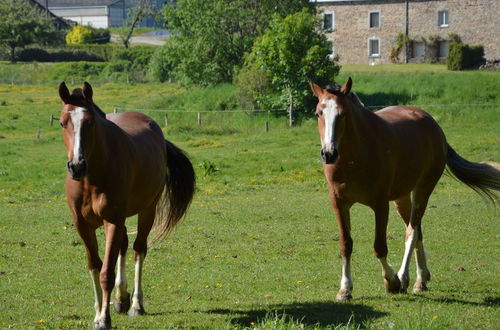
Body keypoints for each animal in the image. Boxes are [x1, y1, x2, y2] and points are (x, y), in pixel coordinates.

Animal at [56, 81, 193, 328]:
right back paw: (121, 299)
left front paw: (103, 318)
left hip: (147, 210)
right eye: (62, 122)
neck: (91, 179)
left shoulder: (112, 221)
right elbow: (94, 266)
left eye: (90, 122)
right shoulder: (82, 225)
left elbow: (106, 273)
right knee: (124, 246)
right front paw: (98, 312)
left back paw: (136, 305)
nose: (77, 166)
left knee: (139, 249)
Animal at [310, 77, 500, 302]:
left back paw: (405, 278)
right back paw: (421, 280)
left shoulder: (380, 204)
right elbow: (345, 244)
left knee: (412, 231)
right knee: (418, 231)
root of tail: (433, 124)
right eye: (319, 113)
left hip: (422, 190)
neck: (354, 157)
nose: (328, 153)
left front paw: (391, 281)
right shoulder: (339, 203)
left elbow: (380, 246)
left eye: (343, 113)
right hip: (401, 198)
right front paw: (344, 290)